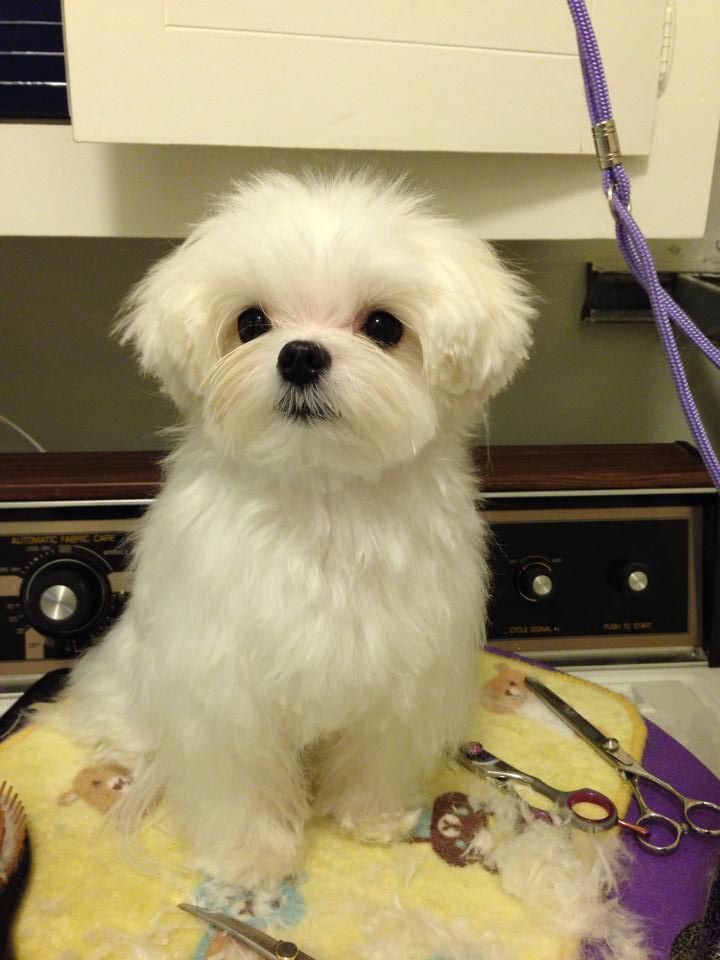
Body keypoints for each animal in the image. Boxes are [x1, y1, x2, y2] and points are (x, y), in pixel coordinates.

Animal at [56, 171, 532, 884]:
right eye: (251, 321)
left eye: (384, 326)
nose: (301, 355)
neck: (320, 500)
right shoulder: (225, 693)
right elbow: (242, 780)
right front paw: (252, 857)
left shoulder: (399, 678)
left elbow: (375, 755)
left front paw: (369, 817)